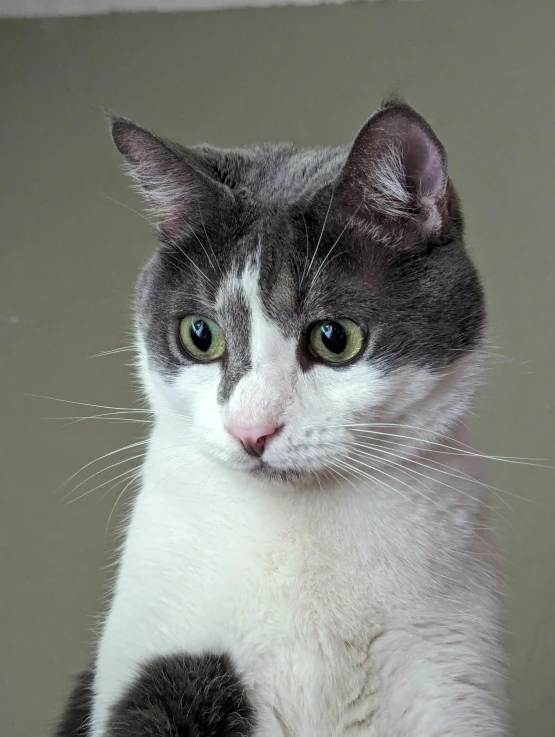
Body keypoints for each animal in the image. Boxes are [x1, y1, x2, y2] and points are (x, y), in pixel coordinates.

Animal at [56, 99, 508, 736]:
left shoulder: (452, 676)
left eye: (334, 337)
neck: (302, 538)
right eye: (200, 334)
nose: (252, 430)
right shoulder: (157, 656)